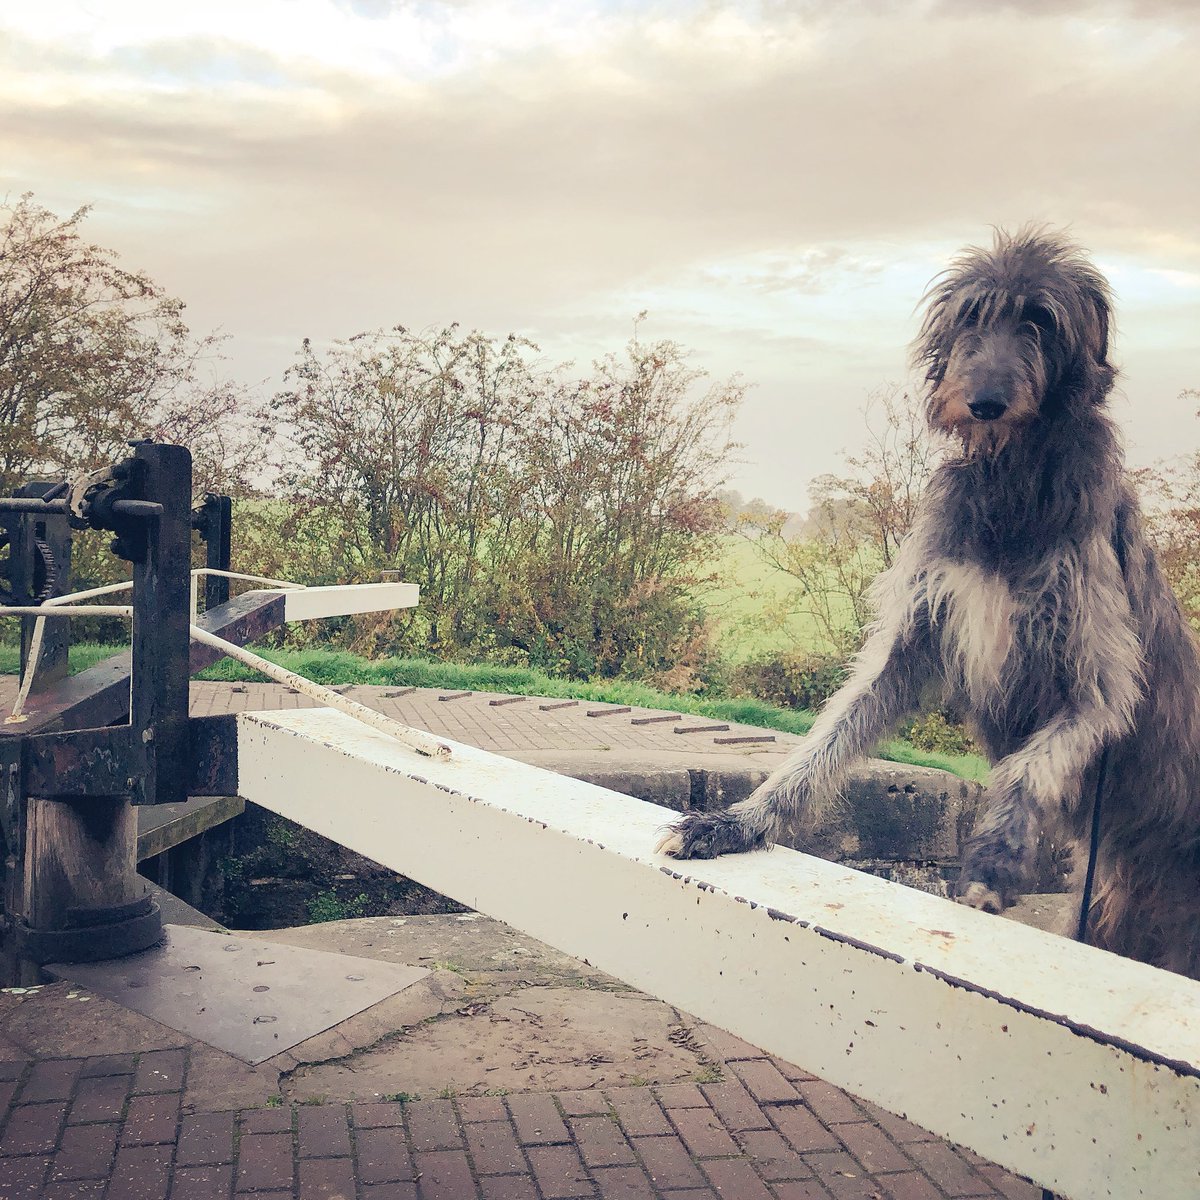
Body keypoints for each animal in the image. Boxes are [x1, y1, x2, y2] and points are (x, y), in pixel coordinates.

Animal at [657, 226, 1200, 984]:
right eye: (972, 316)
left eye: (1040, 322)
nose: (984, 403)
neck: (1011, 485)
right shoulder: (916, 629)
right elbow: (828, 737)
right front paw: (737, 821)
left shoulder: (1095, 667)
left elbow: (1039, 757)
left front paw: (993, 863)